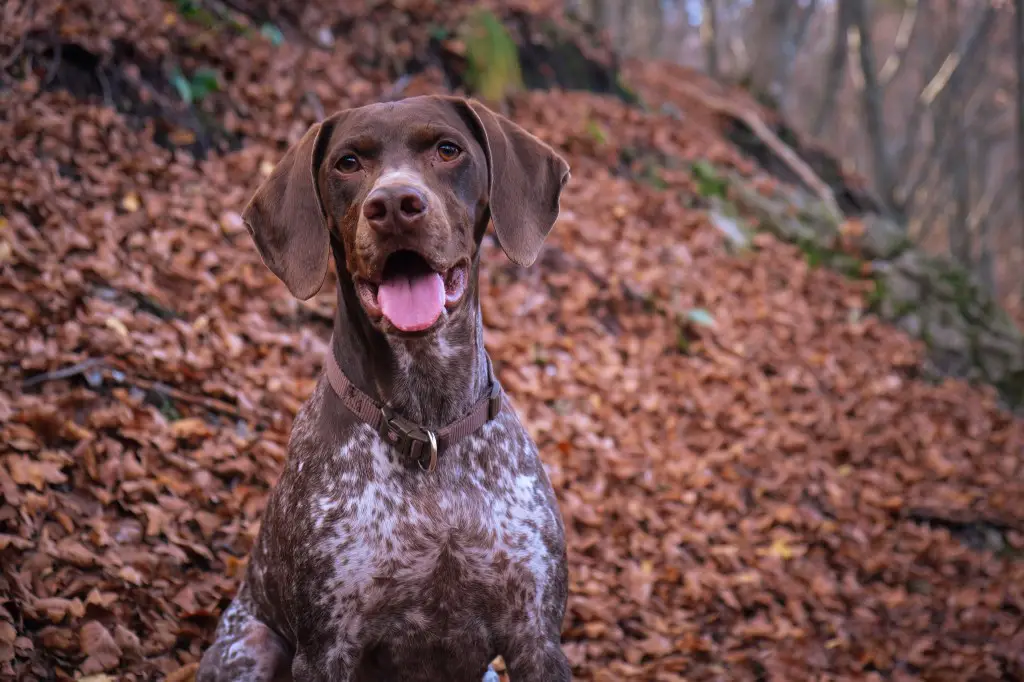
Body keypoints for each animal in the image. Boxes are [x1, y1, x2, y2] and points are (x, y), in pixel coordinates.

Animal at [195, 95, 573, 679]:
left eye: (448, 149)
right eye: (348, 163)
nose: (395, 203)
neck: (429, 427)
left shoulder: (536, 638)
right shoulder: (326, 648)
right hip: (250, 645)